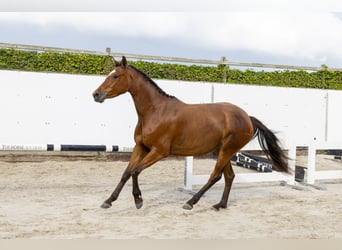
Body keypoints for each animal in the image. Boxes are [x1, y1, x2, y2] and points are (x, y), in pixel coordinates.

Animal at [91, 55, 288, 210]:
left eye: (116, 76)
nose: (96, 94)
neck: (156, 111)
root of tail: (247, 117)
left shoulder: (159, 152)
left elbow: (135, 171)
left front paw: (138, 200)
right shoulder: (141, 147)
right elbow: (127, 172)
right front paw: (108, 201)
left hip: (226, 150)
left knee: (215, 176)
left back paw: (191, 202)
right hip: (223, 150)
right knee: (229, 176)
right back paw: (220, 205)